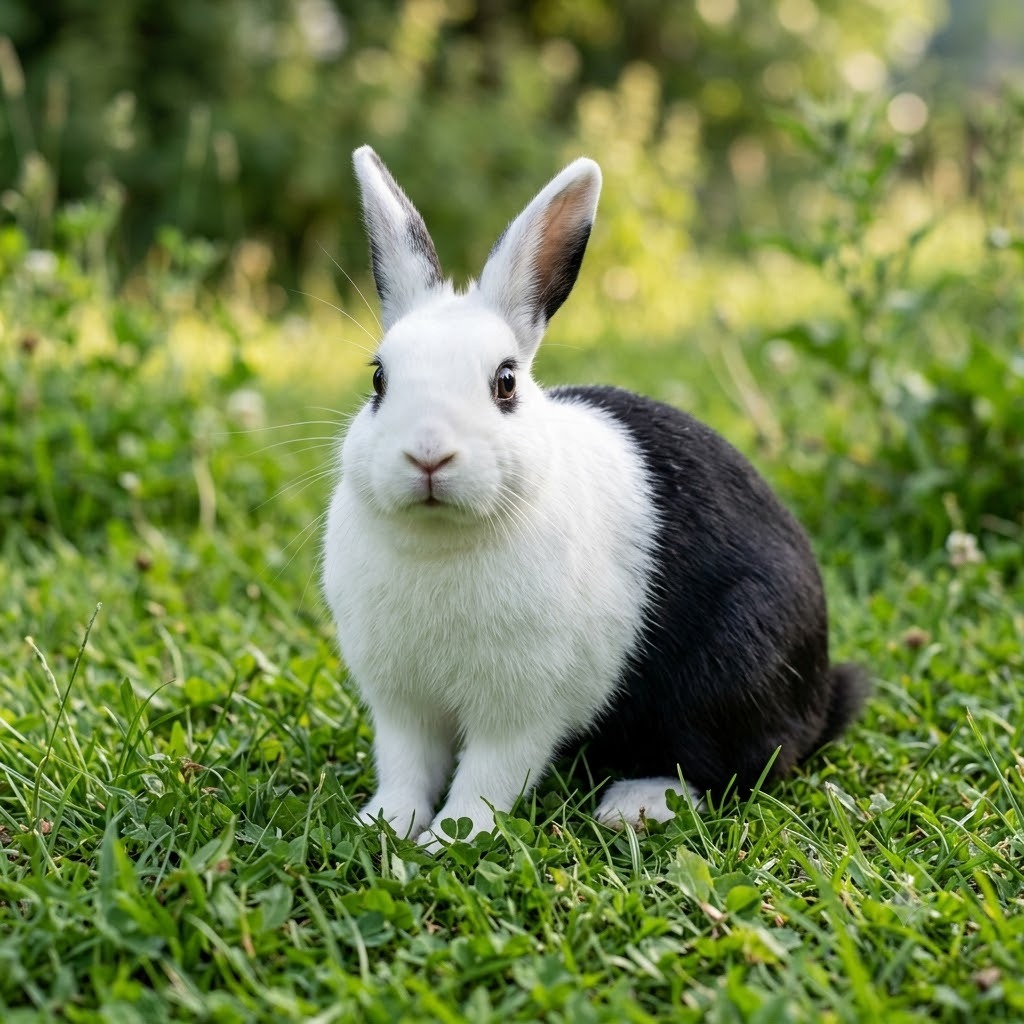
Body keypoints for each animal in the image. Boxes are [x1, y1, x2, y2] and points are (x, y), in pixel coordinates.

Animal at [321, 145, 869, 847]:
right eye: (378, 380)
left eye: (505, 383)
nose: (428, 455)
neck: (440, 540)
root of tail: (823, 690)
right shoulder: (401, 704)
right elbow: (407, 768)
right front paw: (385, 826)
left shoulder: (522, 709)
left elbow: (488, 776)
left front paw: (453, 839)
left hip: (732, 669)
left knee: (740, 764)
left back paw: (637, 803)